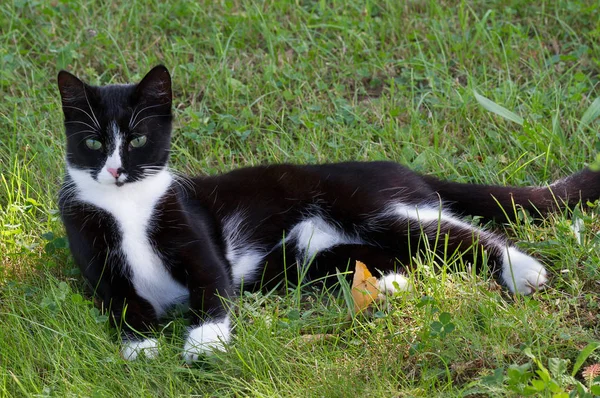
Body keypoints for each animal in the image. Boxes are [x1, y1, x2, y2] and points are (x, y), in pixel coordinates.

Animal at [57, 66, 600, 364]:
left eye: (138, 139)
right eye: (93, 143)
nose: (115, 169)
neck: (128, 208)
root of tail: (397, 167)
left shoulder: (194, 234)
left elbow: (213, 286)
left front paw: (203, 346)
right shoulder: (97, 262)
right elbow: (122, 303)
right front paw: (141, 347)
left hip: (368, 204)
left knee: (455, 233)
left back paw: (523, 271)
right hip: (319, 252)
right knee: (398, 254)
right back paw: (382, 287)